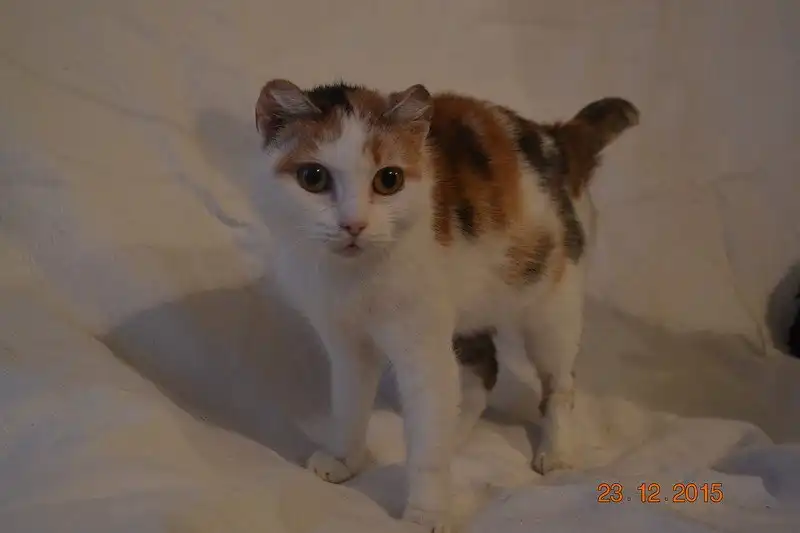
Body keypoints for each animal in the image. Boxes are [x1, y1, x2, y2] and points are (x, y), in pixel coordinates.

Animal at [253, 79, 638, 532]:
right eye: (313, 177)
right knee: (481, 375)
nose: (353, 224)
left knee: (559, 385)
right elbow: (349, 405)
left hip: (551, 307)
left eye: (389, 180)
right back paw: (453, 436)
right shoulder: (347, 343)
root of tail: (557, 137)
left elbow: (428, 434)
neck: (355, 279)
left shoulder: (422, 348)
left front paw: (427, 513)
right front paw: (345, 460)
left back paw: (556, 452)